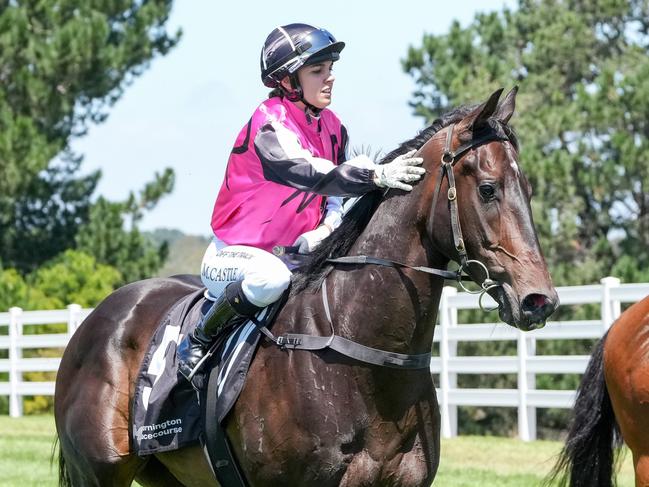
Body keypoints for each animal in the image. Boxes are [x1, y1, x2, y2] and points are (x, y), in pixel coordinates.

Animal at [54, 88, 556, 487]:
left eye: (529, 190)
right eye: (489, 188)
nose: (539, 301)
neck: (364, 356)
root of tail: (94, 320)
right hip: (97, 473)